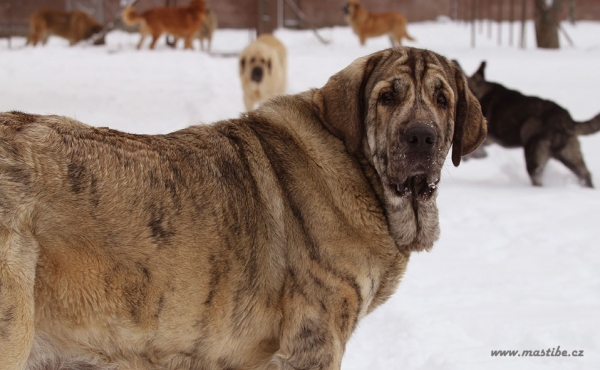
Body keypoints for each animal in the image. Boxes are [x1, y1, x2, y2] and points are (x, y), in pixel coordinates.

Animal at [468, 62, 600, 188]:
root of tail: (566, 120)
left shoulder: (487, 138)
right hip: (569, 156)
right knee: (585, 175)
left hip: (534, 158)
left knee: (538, 180)